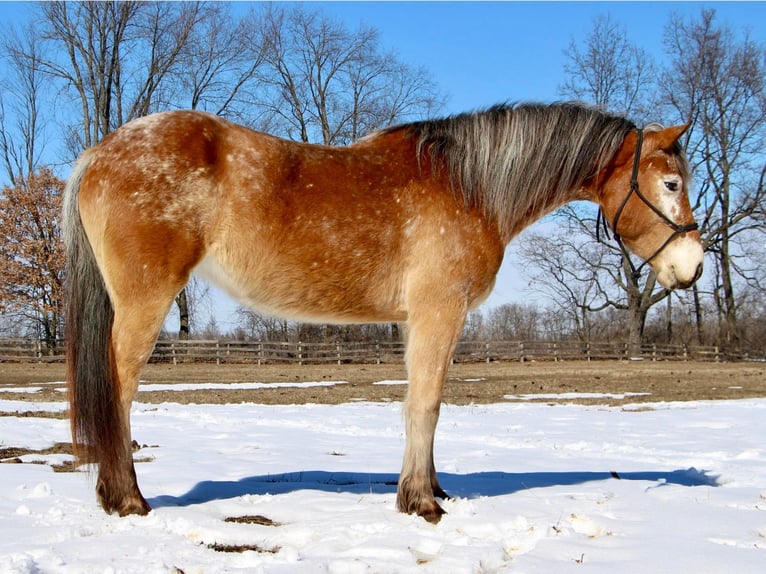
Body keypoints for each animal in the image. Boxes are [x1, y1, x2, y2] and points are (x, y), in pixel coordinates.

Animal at [63, 101, 704, 524]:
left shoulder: (414, 321)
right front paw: (419, 502)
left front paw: (433, 488)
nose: (693, 266)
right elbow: (427, 404)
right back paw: (127, 499)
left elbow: (422, 403)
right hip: (145, 302)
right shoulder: (439, 312)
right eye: (671, 183)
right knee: (117, 390)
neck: (469, 185)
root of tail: (99, 152)